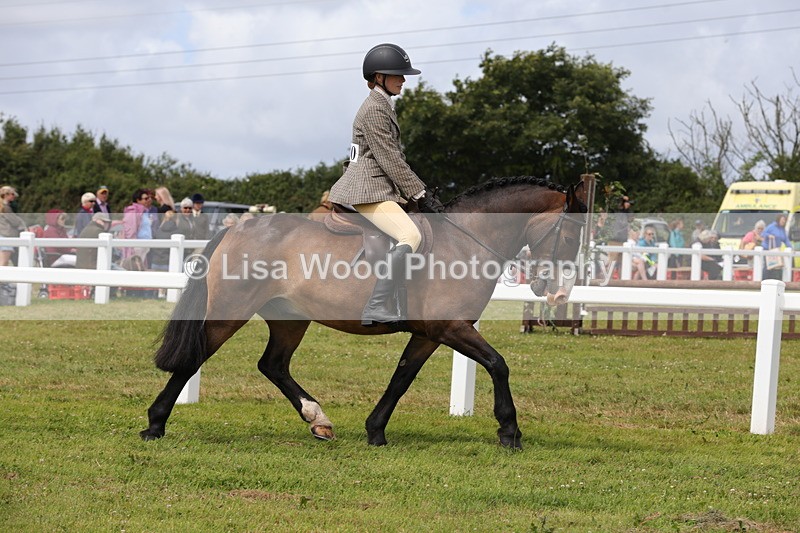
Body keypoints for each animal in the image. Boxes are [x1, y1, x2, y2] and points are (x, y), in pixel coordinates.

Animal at [140, 176, 589, 449]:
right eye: (569, 236)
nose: (558, 292)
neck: (468, 240)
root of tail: (238, 227)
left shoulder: (429, 333)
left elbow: (401, 378)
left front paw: (375, 431)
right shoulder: (452, 327)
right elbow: (498, 364)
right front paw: (509, 431)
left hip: (289, 318)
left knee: (274, 365)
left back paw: (318, 419)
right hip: (230, 310)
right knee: (196, 359)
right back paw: (155, 424)